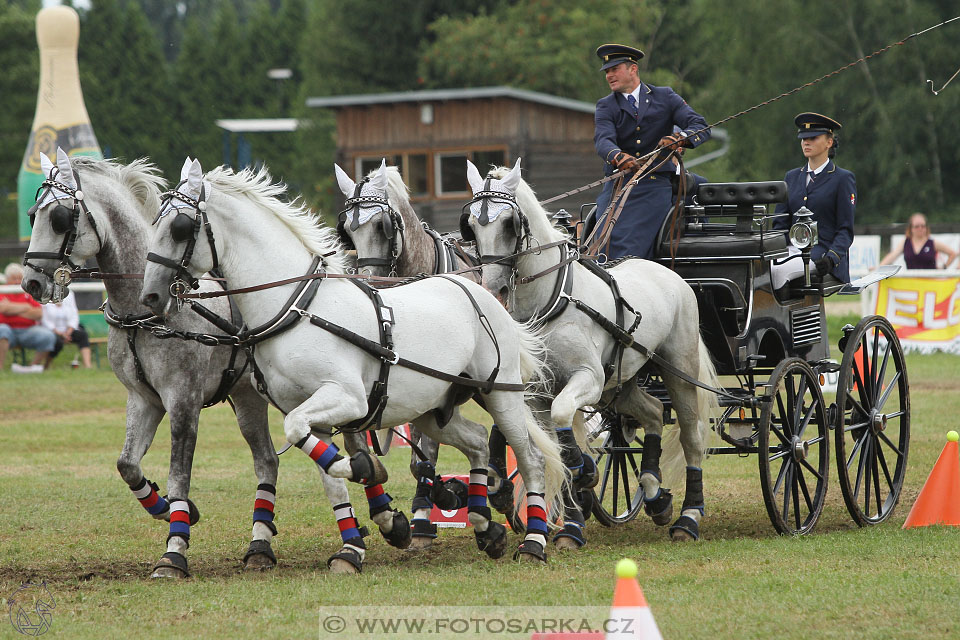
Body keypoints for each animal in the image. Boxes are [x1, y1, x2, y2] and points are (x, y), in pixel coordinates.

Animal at [139, 158, 568, 564]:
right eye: (155, 222)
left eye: (179, 228)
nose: (151, 296)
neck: (295, 308)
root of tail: (479, 290)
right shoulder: (310, 412)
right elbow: (328, 474)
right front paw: (351, 546)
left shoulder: (346, 398)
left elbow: (307, 438)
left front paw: (366, 471)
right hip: (431, 410)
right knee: (478, 441)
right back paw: (485, 527)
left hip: (500, 394)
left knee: (531, 459)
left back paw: (533, 541)